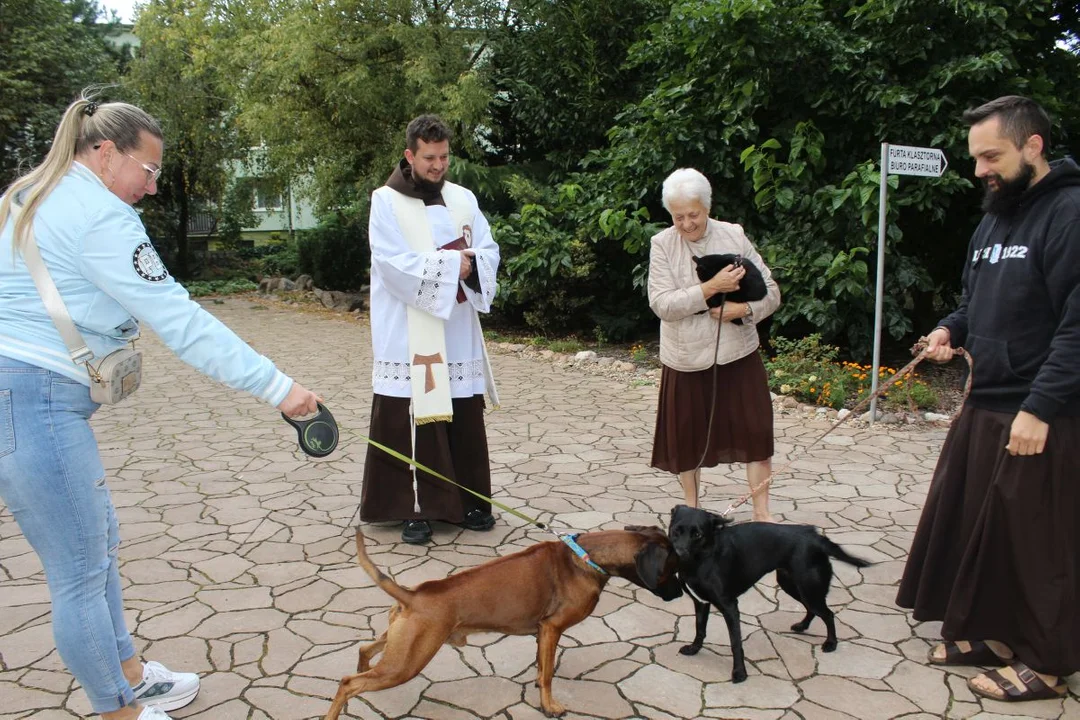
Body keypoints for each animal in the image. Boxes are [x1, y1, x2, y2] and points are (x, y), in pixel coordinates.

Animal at [324, 526, 682, 716]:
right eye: (672, 569)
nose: (681, 593)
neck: (586, 557)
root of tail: (413, 594)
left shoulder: (542, 632)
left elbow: (541, 666)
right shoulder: (552, 628)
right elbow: (548, 673)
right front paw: (550, 706)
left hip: (398, 645)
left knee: (364, 651)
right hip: (408, 662)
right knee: (347, 683)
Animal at [669, 505, 872, 686]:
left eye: (697, 535)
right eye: (676, 531)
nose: (678, 553)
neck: (702, 559)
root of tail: (815, 535)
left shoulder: (730, 607)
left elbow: (735, 643)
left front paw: (740, 673)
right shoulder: (701, 602)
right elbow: (700, 630)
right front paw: (694, 649)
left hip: (809, 589)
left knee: (828, 614)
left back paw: (831, 643)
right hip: (792, 585)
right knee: (812, 610)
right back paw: (802, 626)